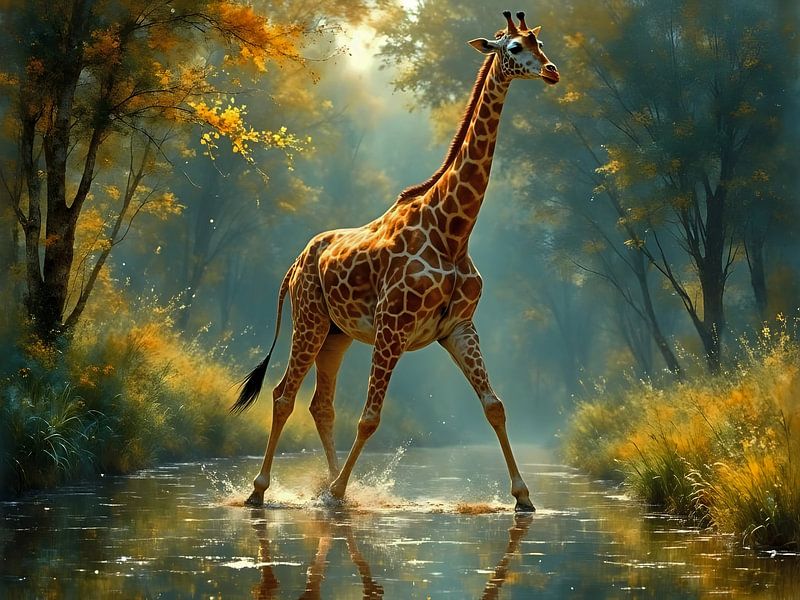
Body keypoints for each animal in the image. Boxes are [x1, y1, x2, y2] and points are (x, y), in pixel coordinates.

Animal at [232, 10, 560, 512]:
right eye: (513, 48)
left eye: (540, 43)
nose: (551, 71)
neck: (453, 231)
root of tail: (294, 264)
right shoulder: (393, 323)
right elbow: (370, 416)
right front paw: (338, 491)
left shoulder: (459, 326)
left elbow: (495, 406)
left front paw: (523, 496)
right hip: (309, 318)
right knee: (284, 394)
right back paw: (260, 490)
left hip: (337, 334)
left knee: (319, 404)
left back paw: (325, 485)